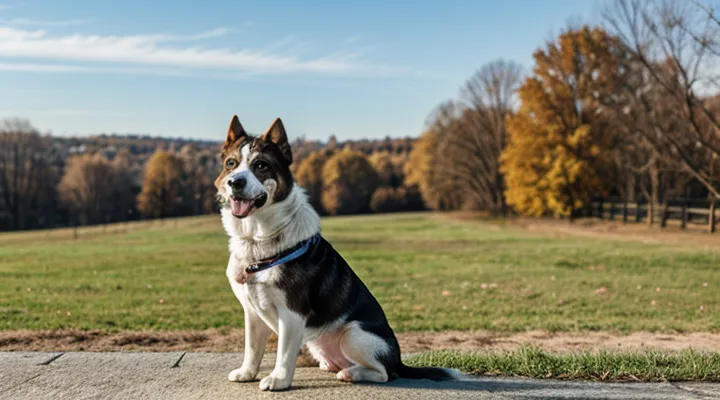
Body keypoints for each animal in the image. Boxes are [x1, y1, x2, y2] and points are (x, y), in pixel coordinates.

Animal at [214, 115, 462, 390]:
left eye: (261, 165)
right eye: (231, 164)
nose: (235, 182)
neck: (257, 238)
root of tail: (398, 360)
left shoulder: (292, 314)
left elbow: (284, 353)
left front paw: (279, 379)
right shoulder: (252, 314)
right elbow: (252, 348)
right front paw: (247, 373)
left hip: (353, 333)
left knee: (385, 373)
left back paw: (352, 373)